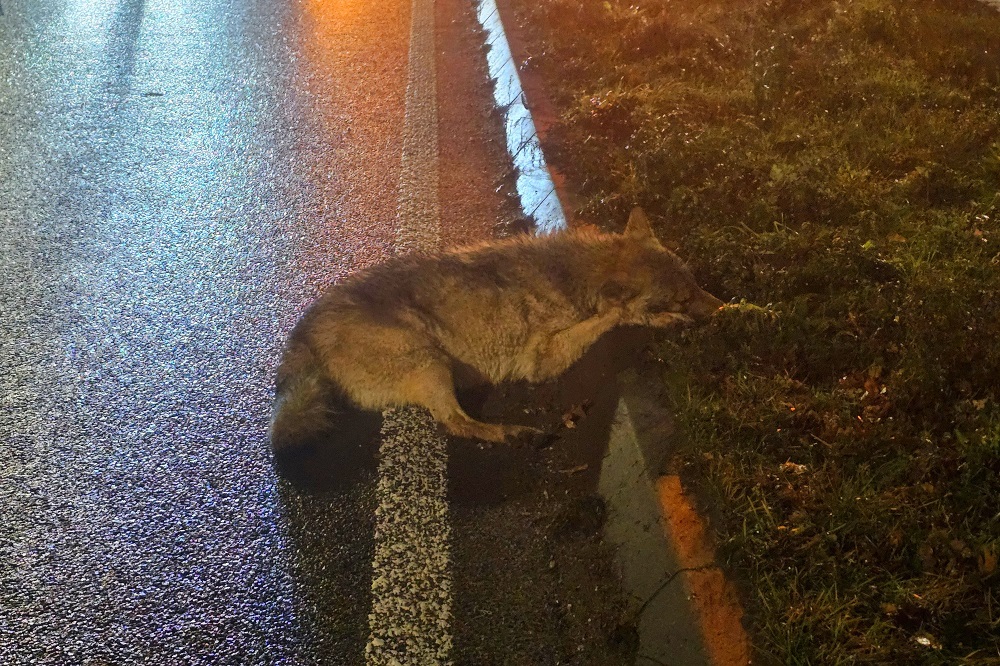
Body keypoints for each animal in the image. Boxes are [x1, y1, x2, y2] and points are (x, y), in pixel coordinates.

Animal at [270, 207, 722, 482]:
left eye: (695, 284)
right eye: (681, 300)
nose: (725, 309)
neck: (574, 276)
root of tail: (304, 329)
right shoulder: (543, 361)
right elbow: (610, 320)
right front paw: (658, 321)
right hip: (430, 359)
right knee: (454, 422)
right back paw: (514, 434)